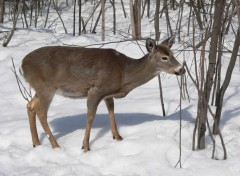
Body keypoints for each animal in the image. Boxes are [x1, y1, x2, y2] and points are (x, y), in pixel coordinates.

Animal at [20, 37, 185, 152]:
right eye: (164, 57)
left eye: (173, 54)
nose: (181, 69)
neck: (124, 73)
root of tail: (22, 64)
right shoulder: (96, 90)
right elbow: (90, 117)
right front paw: (85, 147)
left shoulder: (108, 94)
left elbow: (111, 111)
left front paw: (118, 137)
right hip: (46, 87)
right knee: (41, 112)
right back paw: (55, 145)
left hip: (39, 88)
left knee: (30, 106)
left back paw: (36, 143)